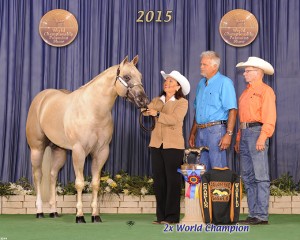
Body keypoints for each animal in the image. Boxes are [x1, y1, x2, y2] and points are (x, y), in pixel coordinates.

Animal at [25, 55, 149, 223]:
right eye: (127, 76)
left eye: (141, 76)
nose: (144, 101)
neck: (93, 110)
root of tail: (42, 98)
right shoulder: (79, 151)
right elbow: (80, 183)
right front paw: (80, 216)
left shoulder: (101, 152)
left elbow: (95, 184)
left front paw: (96, 215)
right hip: (37, 148)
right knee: (38, 176)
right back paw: (39, 212)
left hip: (59, 151)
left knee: (52, 176)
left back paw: (54, 212)